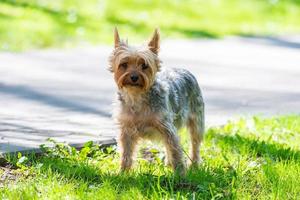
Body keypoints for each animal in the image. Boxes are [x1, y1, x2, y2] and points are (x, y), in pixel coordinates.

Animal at [109, 28, 205, 173]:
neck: (137, 96)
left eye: (144, 65)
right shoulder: (126, 130)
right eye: (124, 64)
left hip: (196, 118)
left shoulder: (167, 127)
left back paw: (193, 165)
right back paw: (168, 164)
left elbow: (175, 151)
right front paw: (122, 172)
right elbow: (126, 153)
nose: (134, 77)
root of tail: (184, 70)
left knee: (195, 142)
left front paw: (180, 173)